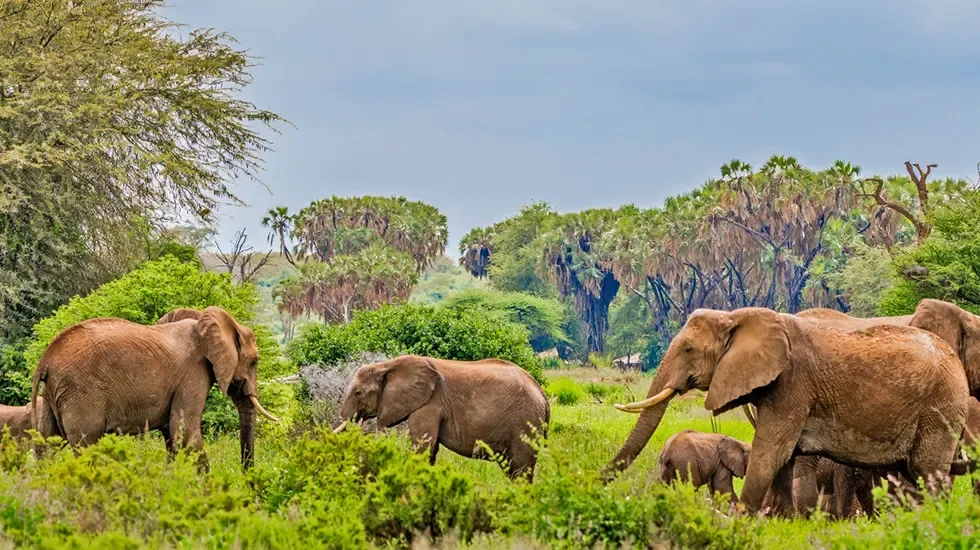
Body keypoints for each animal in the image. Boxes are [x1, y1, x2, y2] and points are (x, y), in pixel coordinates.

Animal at [30, 306, 278, 471]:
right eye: (254, 361)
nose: (247, 477)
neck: (203, 320)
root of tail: (45, 359)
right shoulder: (193, 374)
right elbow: (185, 433)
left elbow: (172, 437)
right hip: (81, 392)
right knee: (86, 446)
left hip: (53, 394)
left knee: (47, 445)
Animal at [333, 354, 550, 481]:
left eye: (358, 393)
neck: (386, 365)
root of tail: (543, 395)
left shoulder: (430, 403)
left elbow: (422, 447)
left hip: (525, 422)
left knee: (520, 470)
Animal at [603, 306, 970, 513]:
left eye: (689, 349)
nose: (597, 482)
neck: (737, 317)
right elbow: (784, 460)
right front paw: (785, 524)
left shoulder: (793, 385)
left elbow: (771, 452)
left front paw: (742, 522)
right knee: (908, 476)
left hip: (940, 410)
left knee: (929, 474)